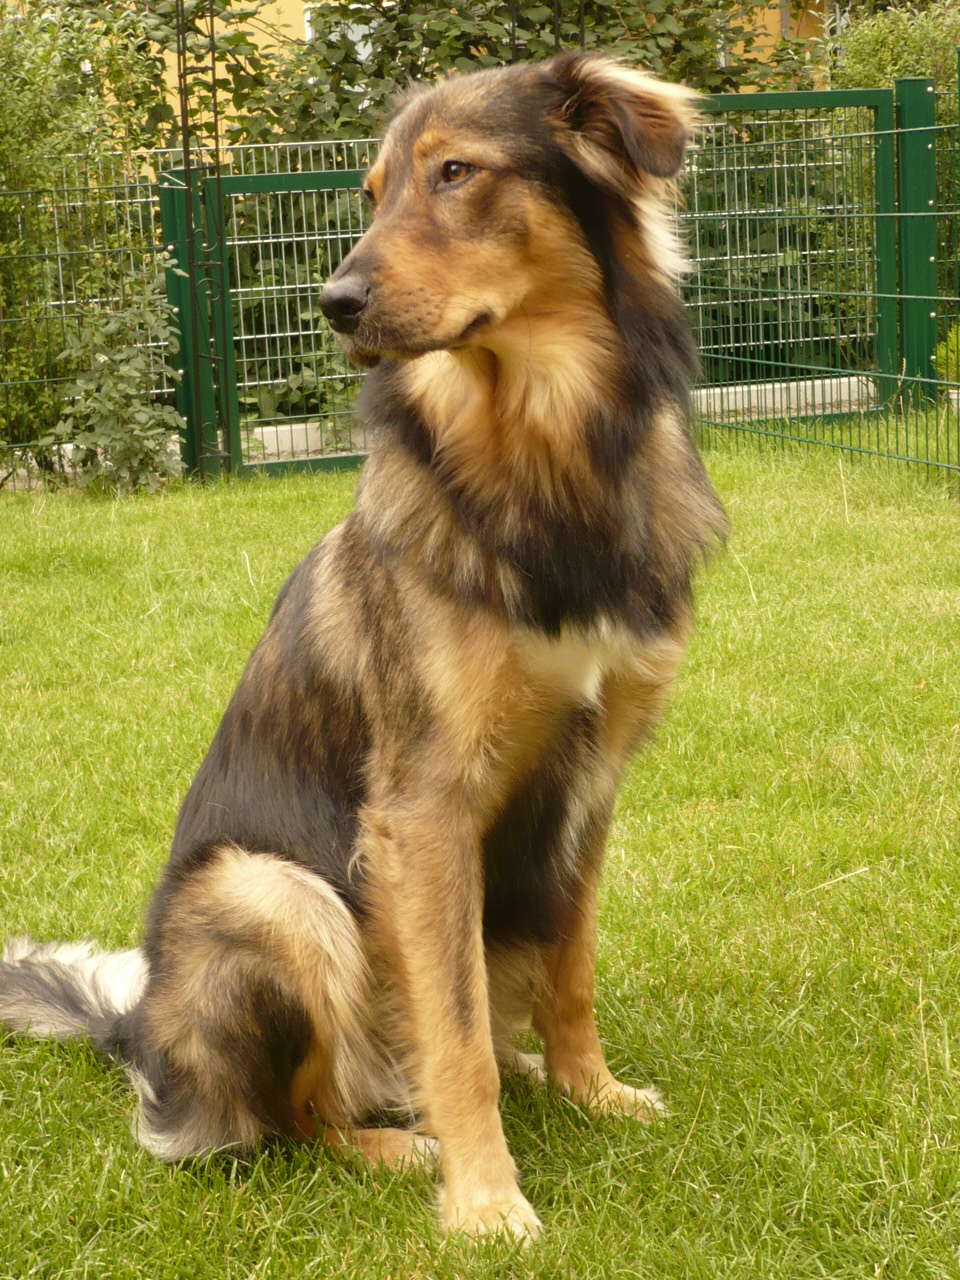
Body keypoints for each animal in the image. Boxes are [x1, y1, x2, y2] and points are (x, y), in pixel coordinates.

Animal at [0, 52, 727, 1239]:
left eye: (455, 173)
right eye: (371, 191)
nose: (335, 304)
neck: (542, 452)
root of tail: (140, 1032)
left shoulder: (592, 783)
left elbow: (569, 970)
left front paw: (593, 1088)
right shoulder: (425, 805)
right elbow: (456, 1030)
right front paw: (485, 1198)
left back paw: (525, 1076)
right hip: (275, 897)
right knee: (301, 1116)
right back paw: (394, 1143)